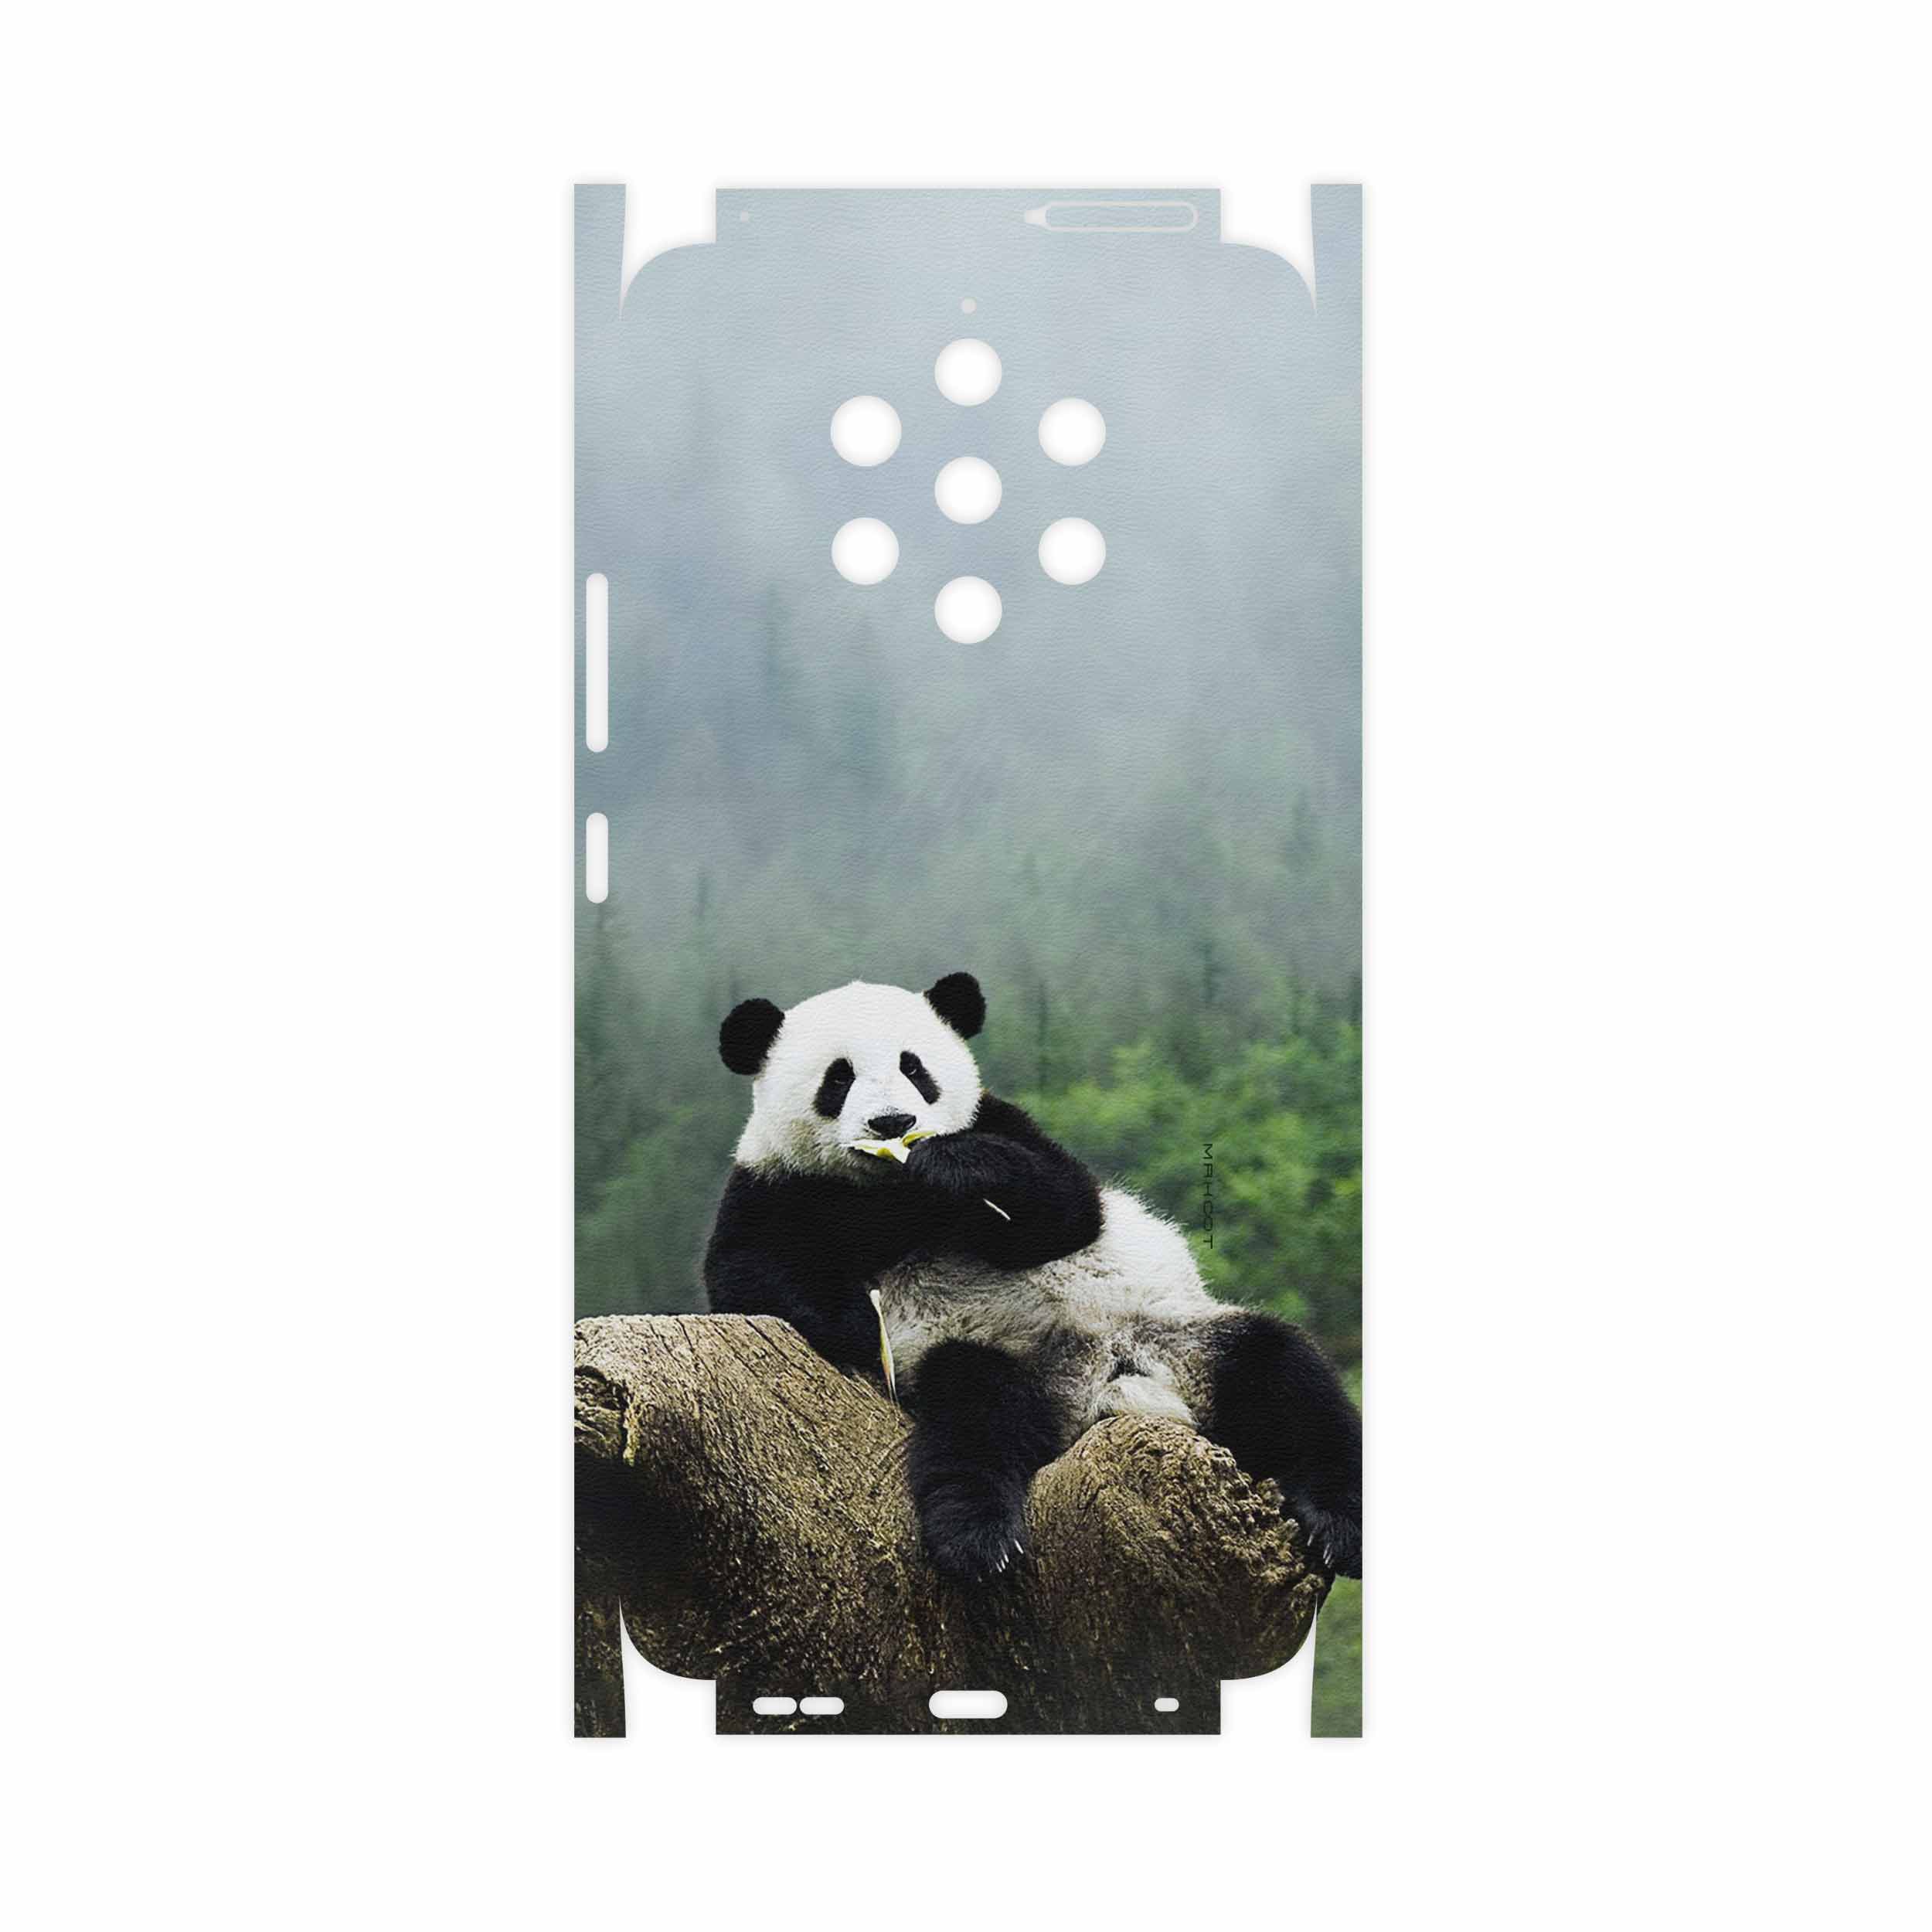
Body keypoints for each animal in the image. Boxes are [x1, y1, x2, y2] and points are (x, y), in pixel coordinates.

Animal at [703, 972, 1363, 1582]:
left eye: (915, 1068)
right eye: (838, 1079)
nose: (893, 1122)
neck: (891, 1192)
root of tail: (1108, 1386)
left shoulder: (1002, 1122)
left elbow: (1068, 1208)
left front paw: (955, 1166)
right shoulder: (774, 1185)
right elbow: (747, 1273)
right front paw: (861, 1324)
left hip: (1182, 1336)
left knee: (1287, 1377)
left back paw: (1339, 1525)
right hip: (998, 1358)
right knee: (973, 1420)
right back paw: (980, 1540)